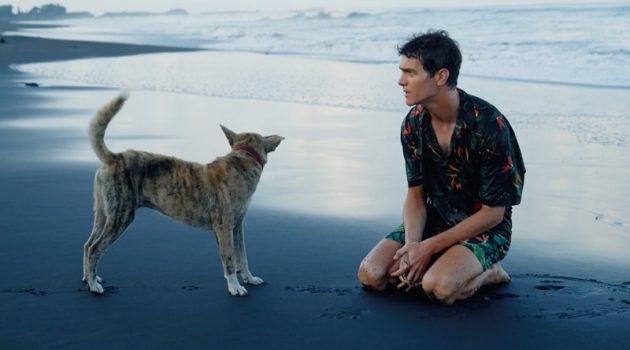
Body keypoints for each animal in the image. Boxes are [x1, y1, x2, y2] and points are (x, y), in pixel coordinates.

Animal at [82, 94, 286, 296]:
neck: (243, 159)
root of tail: (114, 158)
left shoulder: (237, 227)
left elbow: (242, 257)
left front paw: (249, 278)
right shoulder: (224, 226)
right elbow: (229, 260)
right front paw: (235, 287)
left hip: (103, 214)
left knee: (87, 245)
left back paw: (89, 278)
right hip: (120, 217)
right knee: (94, 248)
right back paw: (93, 285)